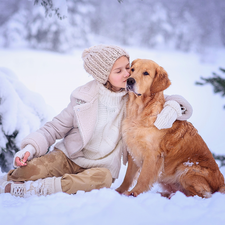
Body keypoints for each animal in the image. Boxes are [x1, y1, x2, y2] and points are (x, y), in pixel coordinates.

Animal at [116, 59, 225, 198]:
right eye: (132, 69)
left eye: (146, 73)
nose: (129, 81)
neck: (139, 112)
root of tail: (221, 183)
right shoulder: (133, 150)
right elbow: (128, 176)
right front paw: (119, 191)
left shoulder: (153, 154)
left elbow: (143, 177)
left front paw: (134, 193)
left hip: (186, 169)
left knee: (199, 195)